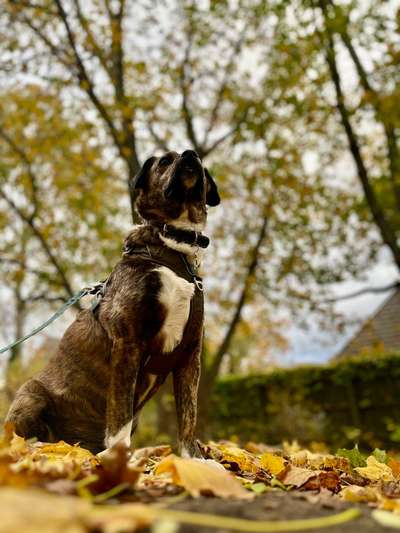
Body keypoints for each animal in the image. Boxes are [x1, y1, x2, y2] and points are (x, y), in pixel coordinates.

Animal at [5, 149, 219, 454]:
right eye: (165, 161)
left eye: (199, 159)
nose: (190, 155)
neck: (170, 246)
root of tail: (72, 443)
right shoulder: (128, 342)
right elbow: (120, 416)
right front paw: (118, 458)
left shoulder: (189, 355)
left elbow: (188, 419)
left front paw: (194, 459)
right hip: (30, 395)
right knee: (22, 437)